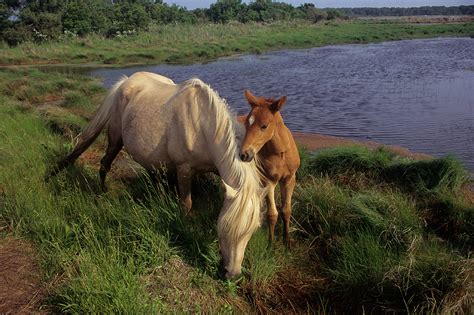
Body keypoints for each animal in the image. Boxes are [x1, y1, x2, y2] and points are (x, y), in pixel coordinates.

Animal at [56, 72, 264, 278]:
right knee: (105, 164)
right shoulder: (184, 169)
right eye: (224, 228)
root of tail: (126, 81)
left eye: (252, 230)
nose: (233, 275)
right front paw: (184, 230)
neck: (202, 125)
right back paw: (101, 192)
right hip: (116, 138)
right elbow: (186, 204)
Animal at [239, 90, 302, 249]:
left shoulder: (289, 179)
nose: (244, 154)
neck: (280, 153)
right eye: (247, 123)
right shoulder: (268, 181)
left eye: (264, 126)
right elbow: (272, 214)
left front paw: (287, 240)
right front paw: (271, 244)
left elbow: (286, 210)